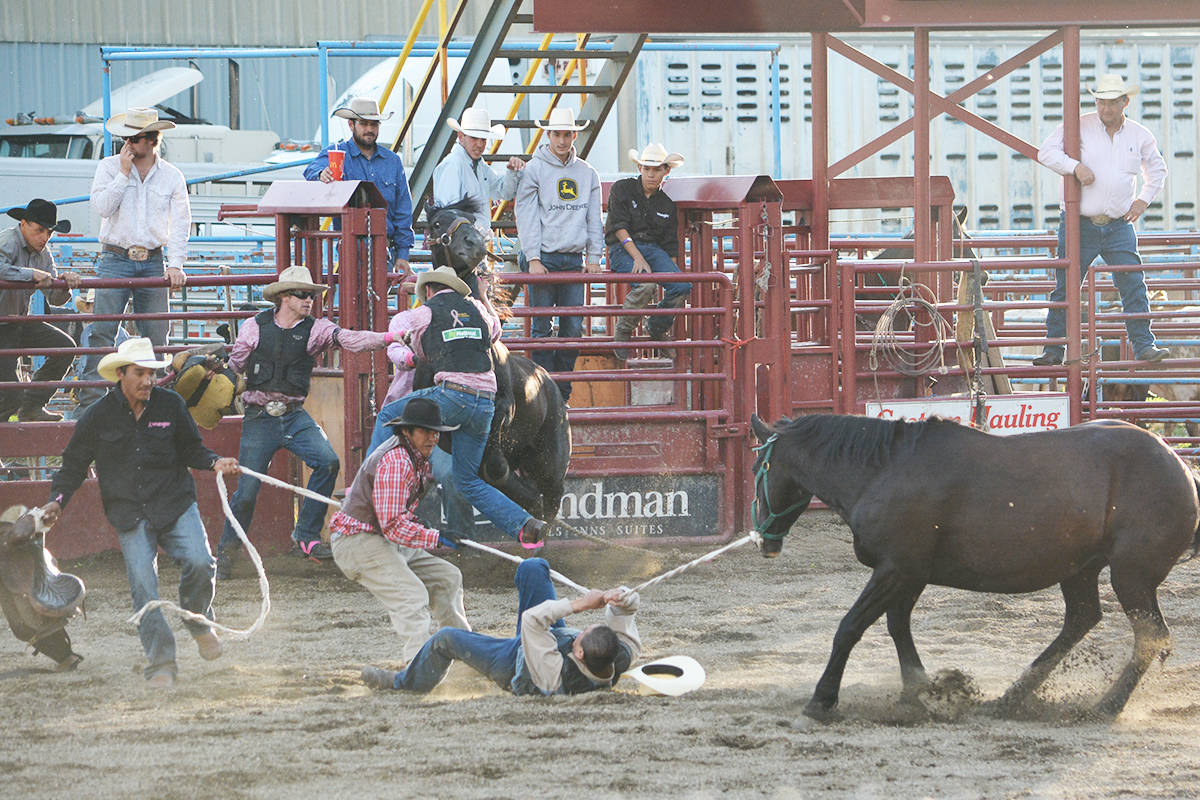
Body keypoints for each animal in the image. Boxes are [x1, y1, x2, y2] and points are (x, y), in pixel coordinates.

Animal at [748, 417, 1200, 724]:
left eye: (757, 471)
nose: (764, 540)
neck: (883, 472)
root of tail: (1180, 465)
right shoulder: (909, 574)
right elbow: (898, 627)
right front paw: (920, 691)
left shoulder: (894, 570)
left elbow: (850, 628)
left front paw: (821, 700)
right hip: (1080, 570)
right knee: (1081, 620)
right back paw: (1012, 697)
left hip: (1132, 576)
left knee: (1150, 637)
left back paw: (1106, 705)